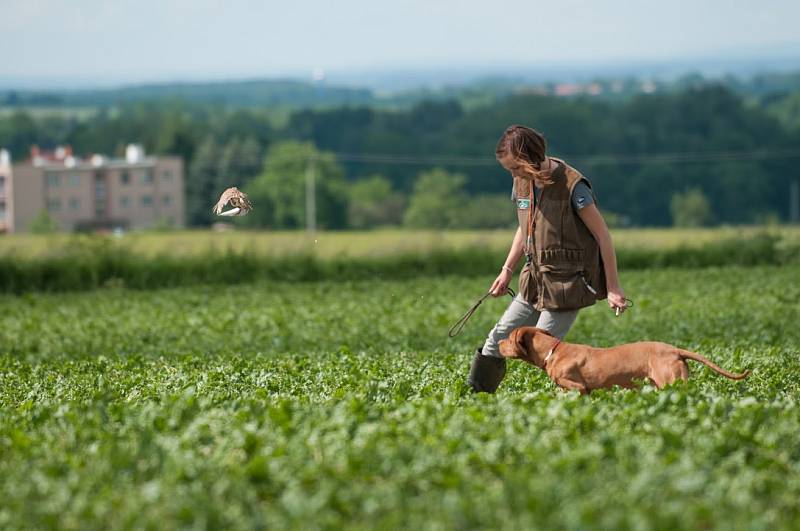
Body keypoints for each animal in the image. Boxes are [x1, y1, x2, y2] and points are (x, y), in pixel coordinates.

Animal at [500, 326, 752, 392]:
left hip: (670, 383)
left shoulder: (577, 387)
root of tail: (675, 350)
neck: (553, 350)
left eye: (509, 338)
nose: (497, 342)